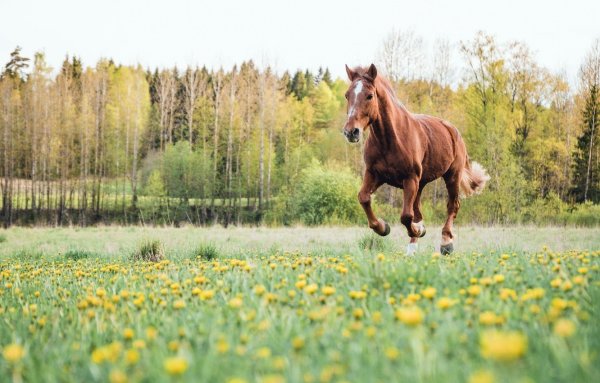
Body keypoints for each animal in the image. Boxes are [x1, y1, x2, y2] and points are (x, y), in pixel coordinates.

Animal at [344, 63, 490, 255]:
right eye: (347, 95)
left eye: (369, 95)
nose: (351, 132)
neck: (389, 140)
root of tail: (452, 130)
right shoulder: (374, 174)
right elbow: (364, 198)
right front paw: (383, 227)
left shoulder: (410, 178)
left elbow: (406, 216)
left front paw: (419, 230)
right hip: (420, 184)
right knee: (418, 210)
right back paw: (413, 247)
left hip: (451, 176)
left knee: (452, 205)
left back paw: (446, 243)